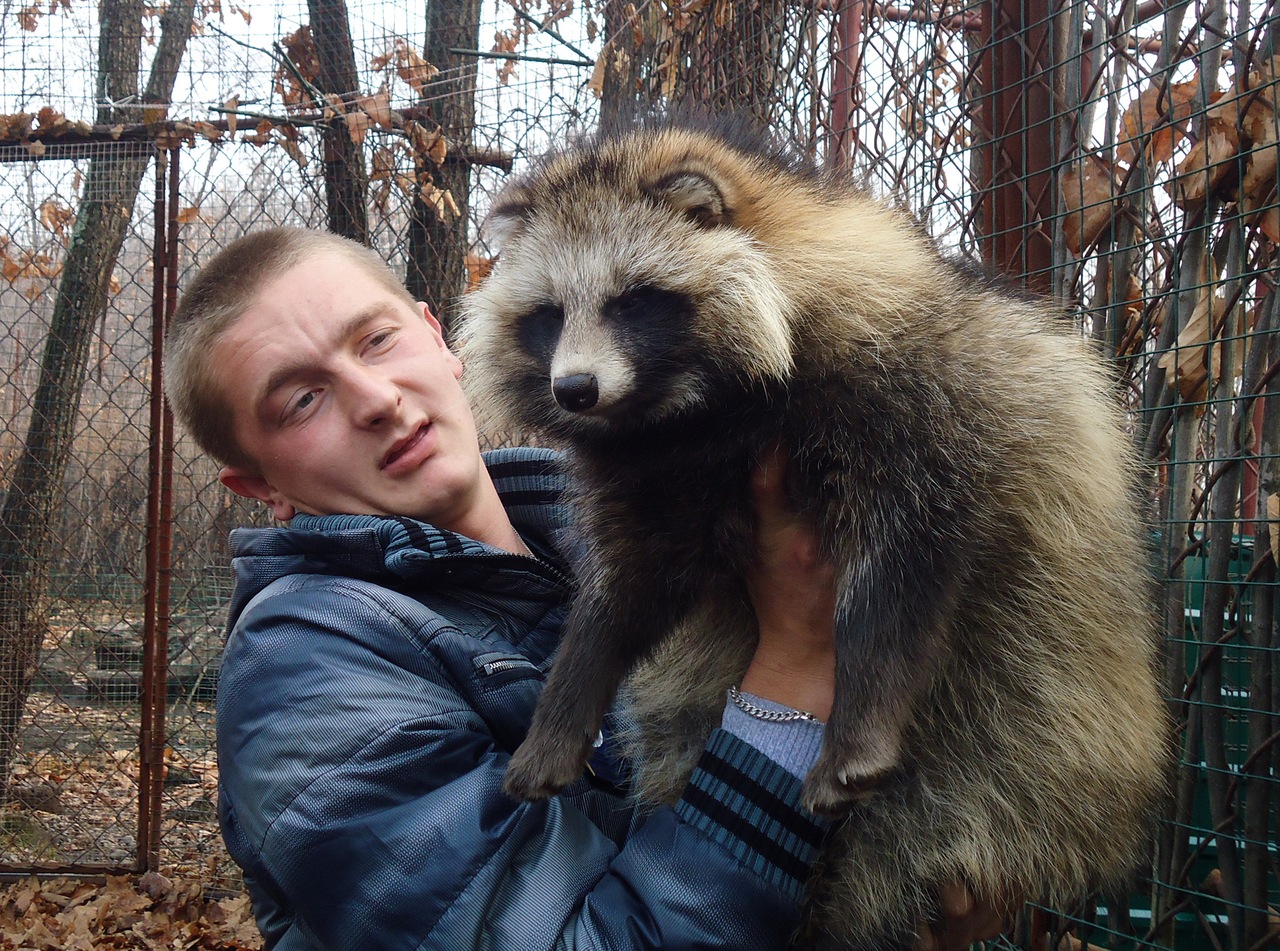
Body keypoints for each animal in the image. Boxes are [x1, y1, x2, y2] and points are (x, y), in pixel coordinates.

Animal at [458, 118, 1171, 949]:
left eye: (633, 301)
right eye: (548, 314)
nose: (575, 389)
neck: (693, 413)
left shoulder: (919, 409)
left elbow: (899, 576)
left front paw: (863, 716)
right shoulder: (654, 479)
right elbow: (627, 590)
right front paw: (567, 698)